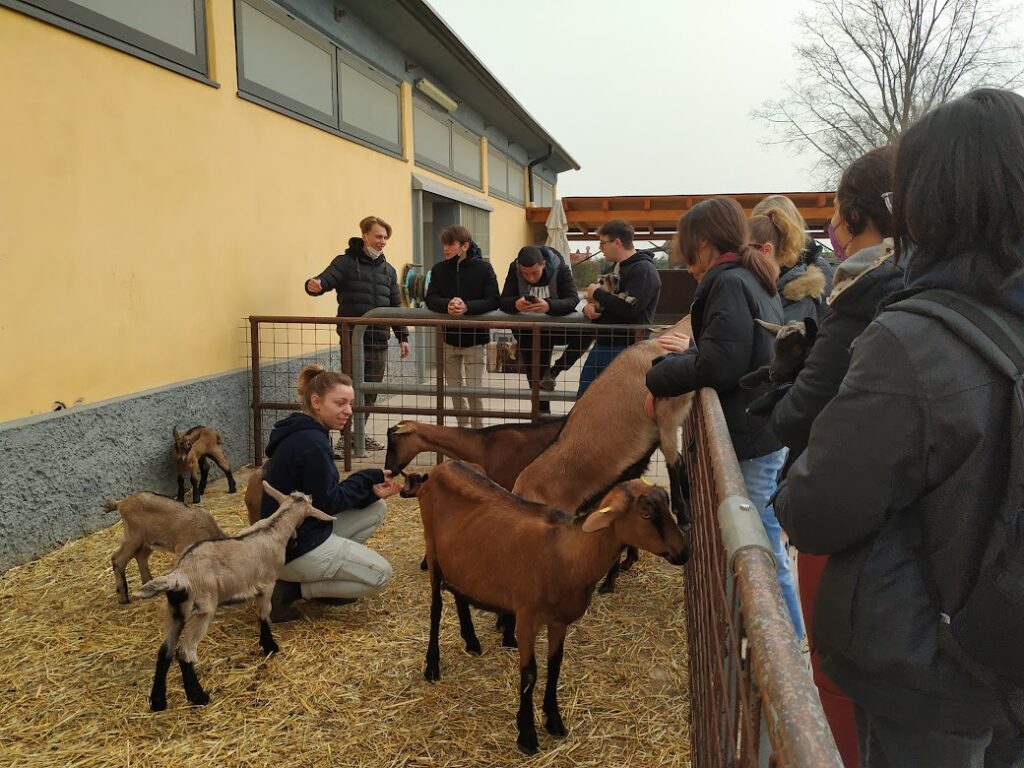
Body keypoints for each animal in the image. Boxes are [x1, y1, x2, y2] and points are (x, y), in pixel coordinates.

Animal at [399, 462, 688, 757]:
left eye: (667, 506)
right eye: (645, 514)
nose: (684, 551)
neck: (570, 554)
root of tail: (443, 466)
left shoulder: (559, 621)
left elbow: (555, 665)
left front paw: (554, 721)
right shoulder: (526, 617)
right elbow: (530, 673)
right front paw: (526, 735)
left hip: (460, 560)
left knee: (459, 594)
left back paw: (471, 641)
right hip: (433, 551)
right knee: (436, 607)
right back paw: (432, 666)